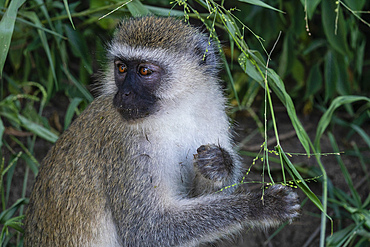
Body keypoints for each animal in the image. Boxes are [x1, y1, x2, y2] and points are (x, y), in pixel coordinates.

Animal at [23, 16, 300, 246]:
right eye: (121, 68)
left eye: (144, 70)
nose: (124, 94)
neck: (173, 112)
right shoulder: (125, 146)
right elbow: (148, 230)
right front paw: (259, 204)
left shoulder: (211, 116)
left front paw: (220, 164)